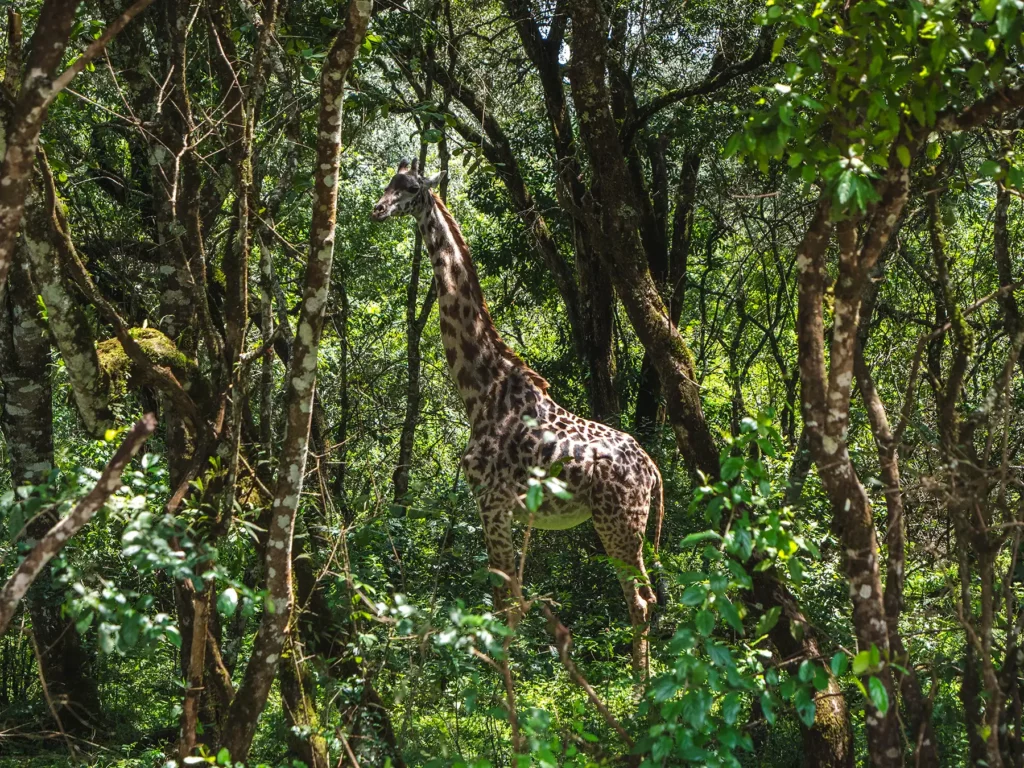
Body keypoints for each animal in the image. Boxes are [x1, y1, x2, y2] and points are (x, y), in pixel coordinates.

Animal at [372, 159, 664, 671]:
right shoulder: (505, 508)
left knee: (640, 601)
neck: (479, 389)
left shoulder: (491, 500)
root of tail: (652, 470)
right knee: (646, 598)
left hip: (619, 522)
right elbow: (510, 602)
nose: (378, 209)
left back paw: (642, 686)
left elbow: (503, 605)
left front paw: (497, 686)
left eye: (409, 189)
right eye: (390, 181)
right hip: (629, 525)